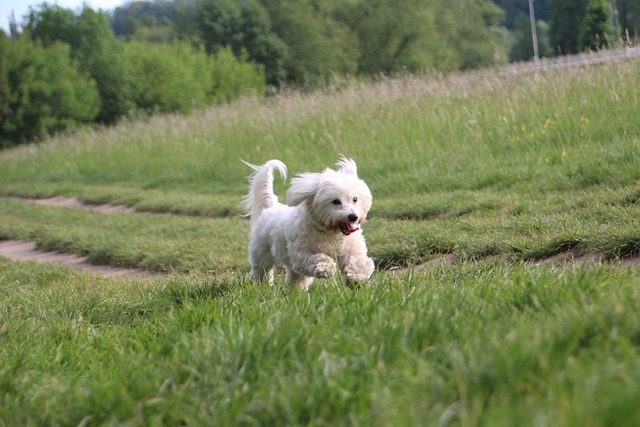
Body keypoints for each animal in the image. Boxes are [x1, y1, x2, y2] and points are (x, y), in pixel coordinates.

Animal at [244, 158, 376, 290]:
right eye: (336, 201)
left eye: (355, 199)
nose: (353, 217)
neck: (330, 232)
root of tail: (270, 207)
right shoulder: (300, 253)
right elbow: (317, 258)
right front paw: (327, 268)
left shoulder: (351, 248)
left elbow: (356, 261)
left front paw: (357, 278)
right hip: (261, 253)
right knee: (262, 271)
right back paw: (262, 286)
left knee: (295, 276)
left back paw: (295, 290)